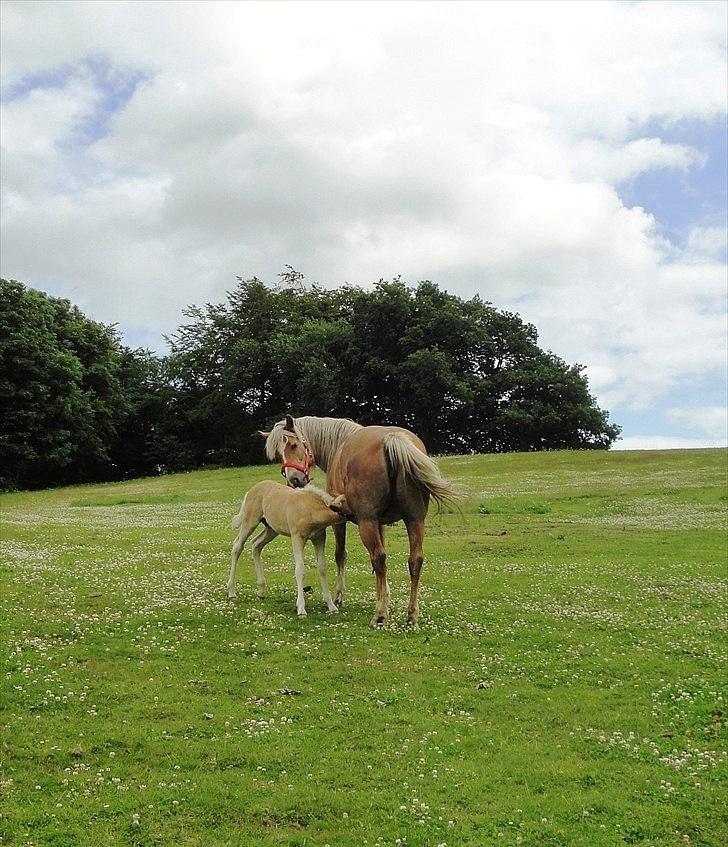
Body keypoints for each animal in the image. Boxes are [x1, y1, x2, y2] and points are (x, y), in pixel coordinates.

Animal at [258, 414, 458, 628]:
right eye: (279, 455)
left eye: (294, 445)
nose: (294, 480)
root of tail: (391, 439)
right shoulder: (380, 523)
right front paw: (384, 597)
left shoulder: (341, 522)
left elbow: (340, 555)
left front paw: (340, 597)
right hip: (415, 520)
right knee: (414, 561)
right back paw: (411, 614)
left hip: (368, 523)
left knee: (378, 557)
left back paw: (379, 615)